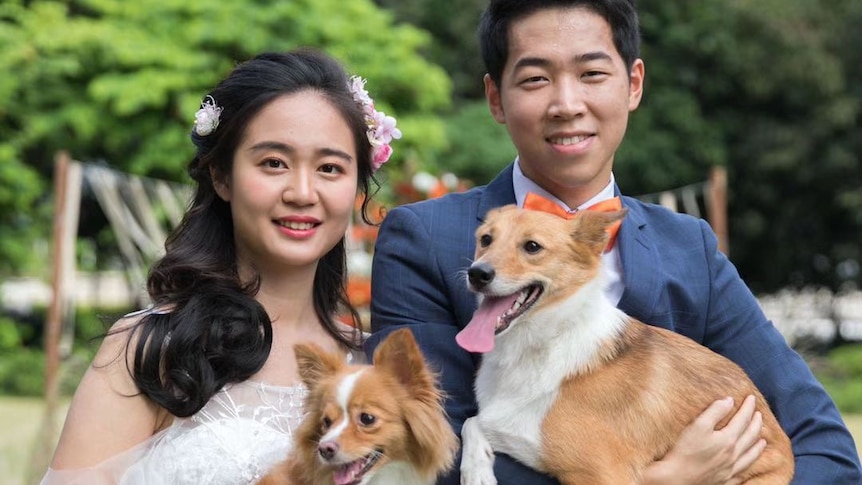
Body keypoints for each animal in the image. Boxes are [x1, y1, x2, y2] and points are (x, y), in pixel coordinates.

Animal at [460, 205, 796, 484]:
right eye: (486, 239)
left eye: (532, 247)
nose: (477, 273)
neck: (543, 342)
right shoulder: (519, 431)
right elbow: (471, 422)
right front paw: (476, 470)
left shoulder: (601, 474)